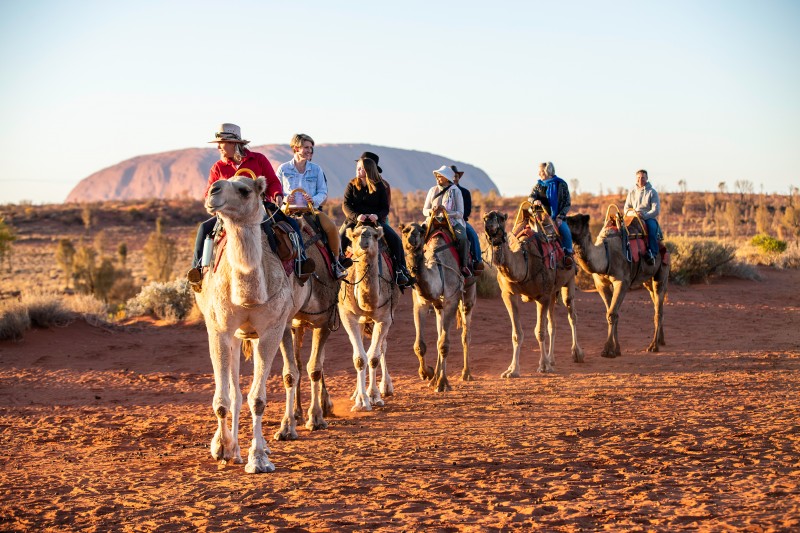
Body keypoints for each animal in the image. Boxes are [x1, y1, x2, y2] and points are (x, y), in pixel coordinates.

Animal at [195, 177, 310, 472]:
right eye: (216, 182)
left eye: (244, 190)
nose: (212, 192)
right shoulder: (220, 330)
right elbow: (223, 399)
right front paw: (223, 449)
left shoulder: (270, 329)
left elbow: (257, 398)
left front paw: (258, 458)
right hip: (236, 335)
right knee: (234, 392)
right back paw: (232, 449)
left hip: (274, 328)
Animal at [338, 222, 400, 410]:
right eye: (355, 235)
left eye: (373, 235)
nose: (364, 236)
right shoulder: (347, 315)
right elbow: (359, 358)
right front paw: (361, 401)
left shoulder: (385, 318)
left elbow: (374, 357)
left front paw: (374, 396)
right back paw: (356, 393)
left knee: (382, 347)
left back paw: (386, 387)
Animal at [400, 220, 476, 390]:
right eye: (405, 230)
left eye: (421, 231)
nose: (412, 237)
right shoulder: (420, 303)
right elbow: (420, 345)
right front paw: (426, 373)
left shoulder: (451, 301)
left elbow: (444, 345)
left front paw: (443, 383)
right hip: (438, 307)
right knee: (439, 336)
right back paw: (434, 378)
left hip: (468, 295)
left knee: (465, 335)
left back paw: (466, 373)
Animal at [482, 208, 580, 374]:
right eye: (485, 217)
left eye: (501, 218)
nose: (489, 224)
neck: (525, 262)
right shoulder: (508, 294)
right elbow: (517, 334)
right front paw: (512, 370)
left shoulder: (543, 296)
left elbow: (539, 332)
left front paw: (544, 366)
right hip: (552, 293)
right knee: (552, 324)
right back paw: (552, 359)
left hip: (569, 280)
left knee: (571, 315)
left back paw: (577, 353)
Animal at [564, 212, 668, 358]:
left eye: (574, 220)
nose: (560, 221)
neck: (605, 256)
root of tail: (663, 244)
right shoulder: (601, 284)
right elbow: (612, 313)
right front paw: (617, 349)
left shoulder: (622, 282)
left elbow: (612, 314)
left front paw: (607, 350)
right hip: (647, 280)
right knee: (657, 304)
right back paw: (661, 340)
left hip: (662, 271)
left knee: (658, 309)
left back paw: (653, 346)